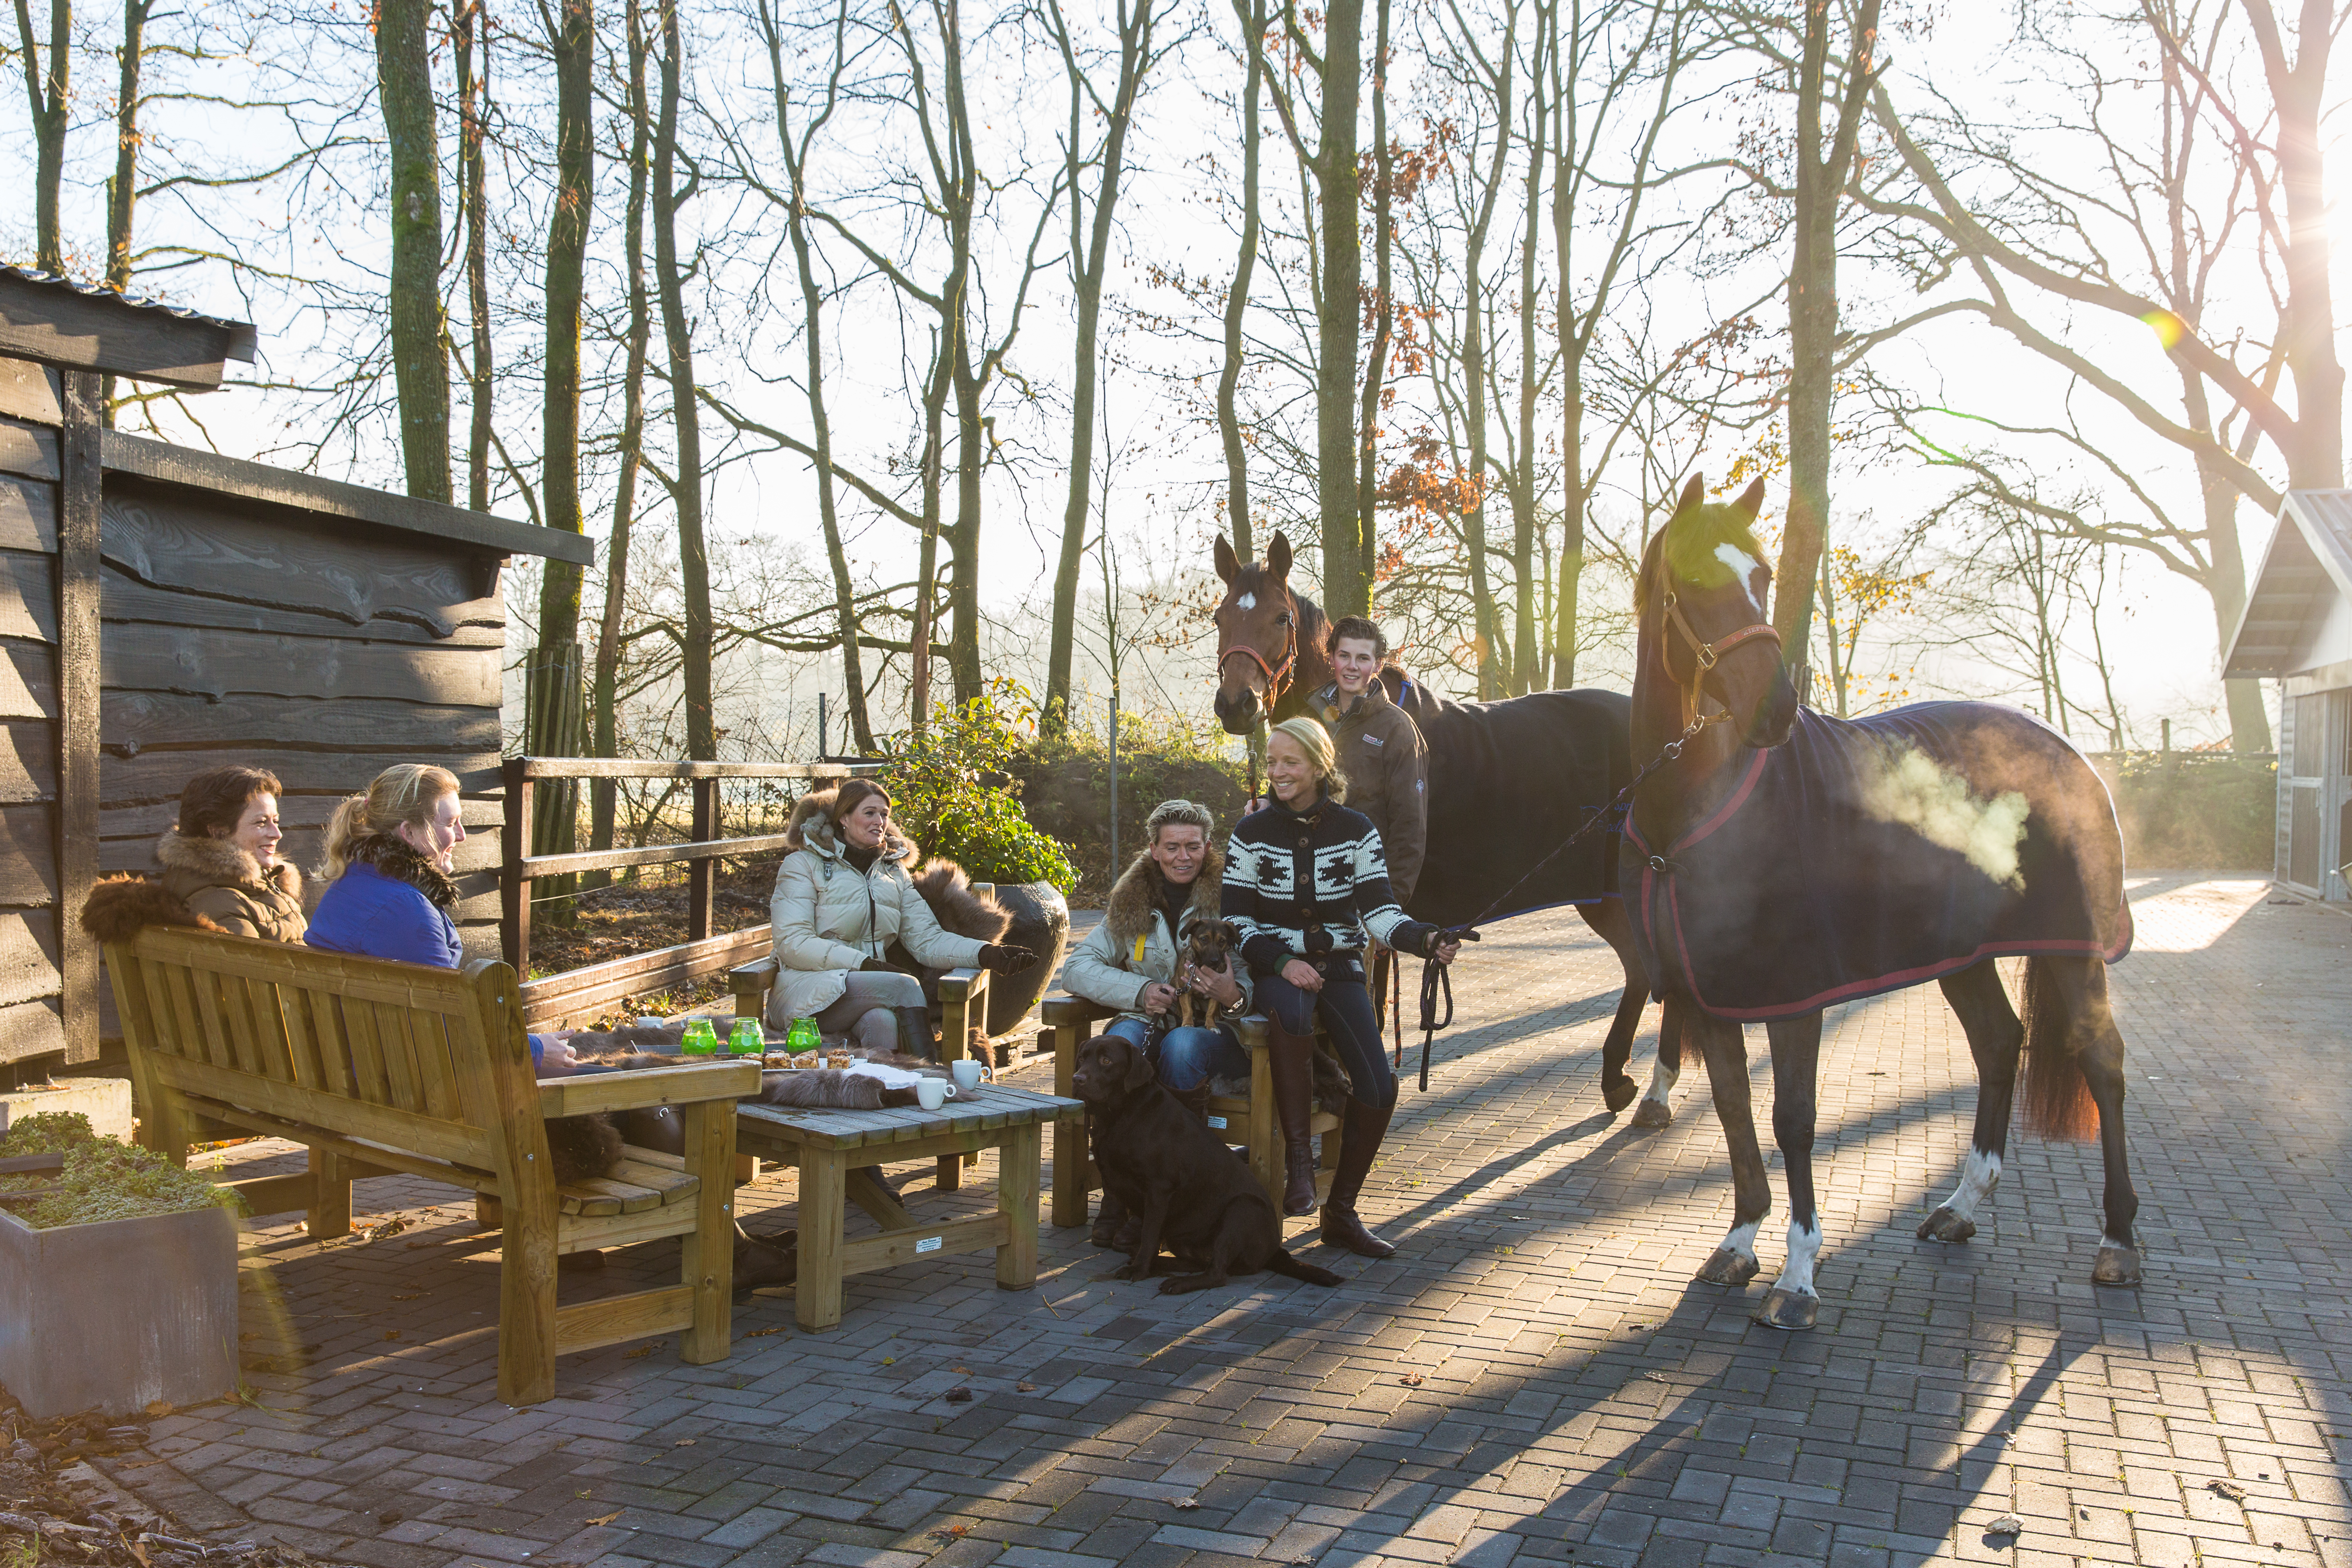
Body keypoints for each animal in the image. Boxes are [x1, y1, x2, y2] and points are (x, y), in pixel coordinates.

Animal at [1073, 1029, 1345, 1297]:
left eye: (1106, 1061)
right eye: (1082, 1059)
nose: (1077, 1079)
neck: (1121, 1116)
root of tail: (1274, 1250)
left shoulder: (1159, 1188)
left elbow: (1149, 1235)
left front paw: (1139, 1270)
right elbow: (1147, 1235)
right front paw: (1143, 1263)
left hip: (1241, 1209)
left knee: (1217, 1274)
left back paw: (1177, 1283)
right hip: (1184, 1235)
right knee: (1200, 1262)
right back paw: (1164, 1267)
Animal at [1214, 536, 1675, 1114]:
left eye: (1280, 617)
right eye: (1219, 617)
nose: (1236, 705)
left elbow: (1367, 1005)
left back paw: (1652, 1091)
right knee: (1642, 969)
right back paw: (1618, 1080)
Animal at [1628, 482, 2145, 1335]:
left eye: (1762, 575)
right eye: (1693, 584)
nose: (1775, 710)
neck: (1701, 810)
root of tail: (2067, 749)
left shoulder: (1794, 995)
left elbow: (1793, 1119)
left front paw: (1798, 1280)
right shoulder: (1711, 995)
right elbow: (1735, 1108)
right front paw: (1738, 1242)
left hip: (2072, 949)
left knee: (2102, 1060)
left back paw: (2119, 1241)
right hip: (1963, 955)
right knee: (1999, 1044)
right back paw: (1961, 1207)